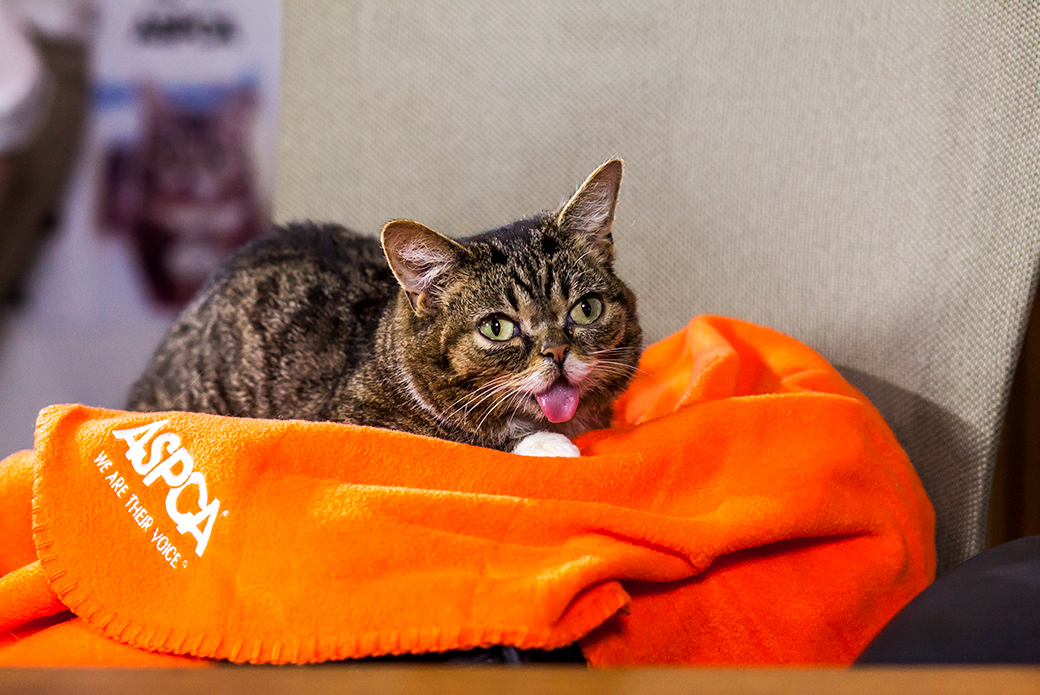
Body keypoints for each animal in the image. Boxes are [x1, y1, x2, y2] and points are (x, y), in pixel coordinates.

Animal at [125, 160, 636, 457]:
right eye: (497, 328)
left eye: (586, 309)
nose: (558, 352)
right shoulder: (353, 422)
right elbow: (470, 437)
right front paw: (548, 444)